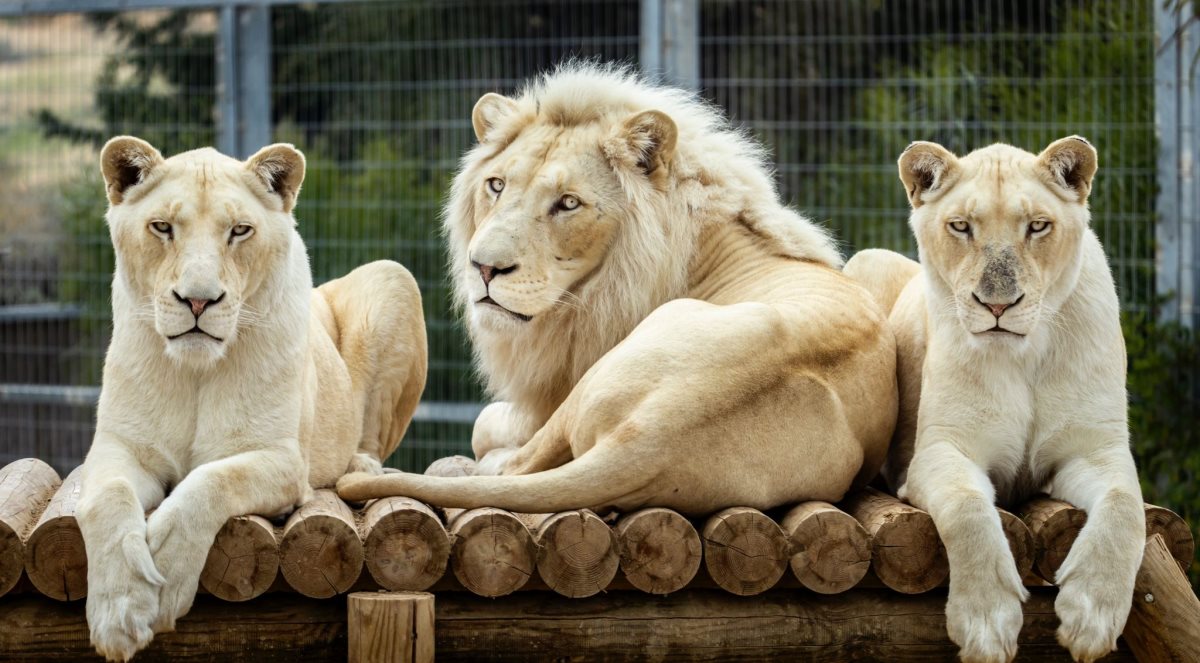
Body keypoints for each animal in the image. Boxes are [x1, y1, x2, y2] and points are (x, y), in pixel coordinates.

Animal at [78, 137, 427, 658]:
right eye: (162, 227)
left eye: (239, 230)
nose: (198, 301)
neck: (196, 372)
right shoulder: (120, 447)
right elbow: (108, 498)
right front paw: (118, 613)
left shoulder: (283, 460)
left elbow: (212, 480)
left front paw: (167, 572)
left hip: (393, 276)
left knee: (369, 440)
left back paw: (361, 466)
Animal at [338, 63, 902, 518]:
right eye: (496, 185)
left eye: (568, 203)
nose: (484, 268)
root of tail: (651, 435)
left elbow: (489, 425)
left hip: (605, 373)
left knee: (511, 467)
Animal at [844, 135, 1142, 663]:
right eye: (961, 226)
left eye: (1037, 225)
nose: (998, 305)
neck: (1024, 355)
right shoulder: (940, 450)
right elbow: (968, 511)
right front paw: (986, 624)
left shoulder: (1094, 448)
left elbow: (1128, 507)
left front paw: (1092, 615)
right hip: (870, 259)